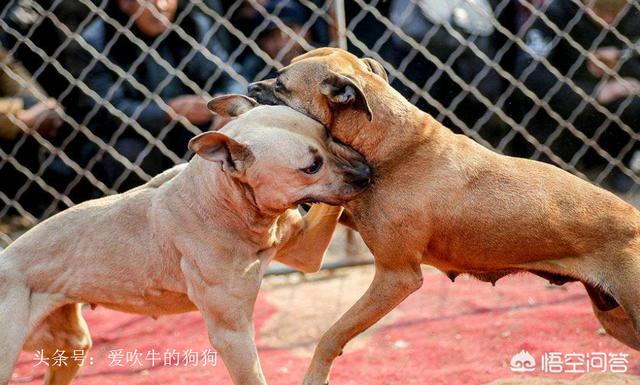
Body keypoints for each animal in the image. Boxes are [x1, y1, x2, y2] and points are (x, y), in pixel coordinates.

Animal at [0, 95, 370, 384]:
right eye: (311, 166)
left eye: (328, 133)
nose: (367, 173)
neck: (224, 200)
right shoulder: (232, 335)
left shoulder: (305, 251)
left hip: (72, 345)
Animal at [249, 48, 640, 384]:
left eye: (281, 85)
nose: (250, 87)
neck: (391, 144)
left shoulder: (397, 277)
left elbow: (332, 334)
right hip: (615, 319)